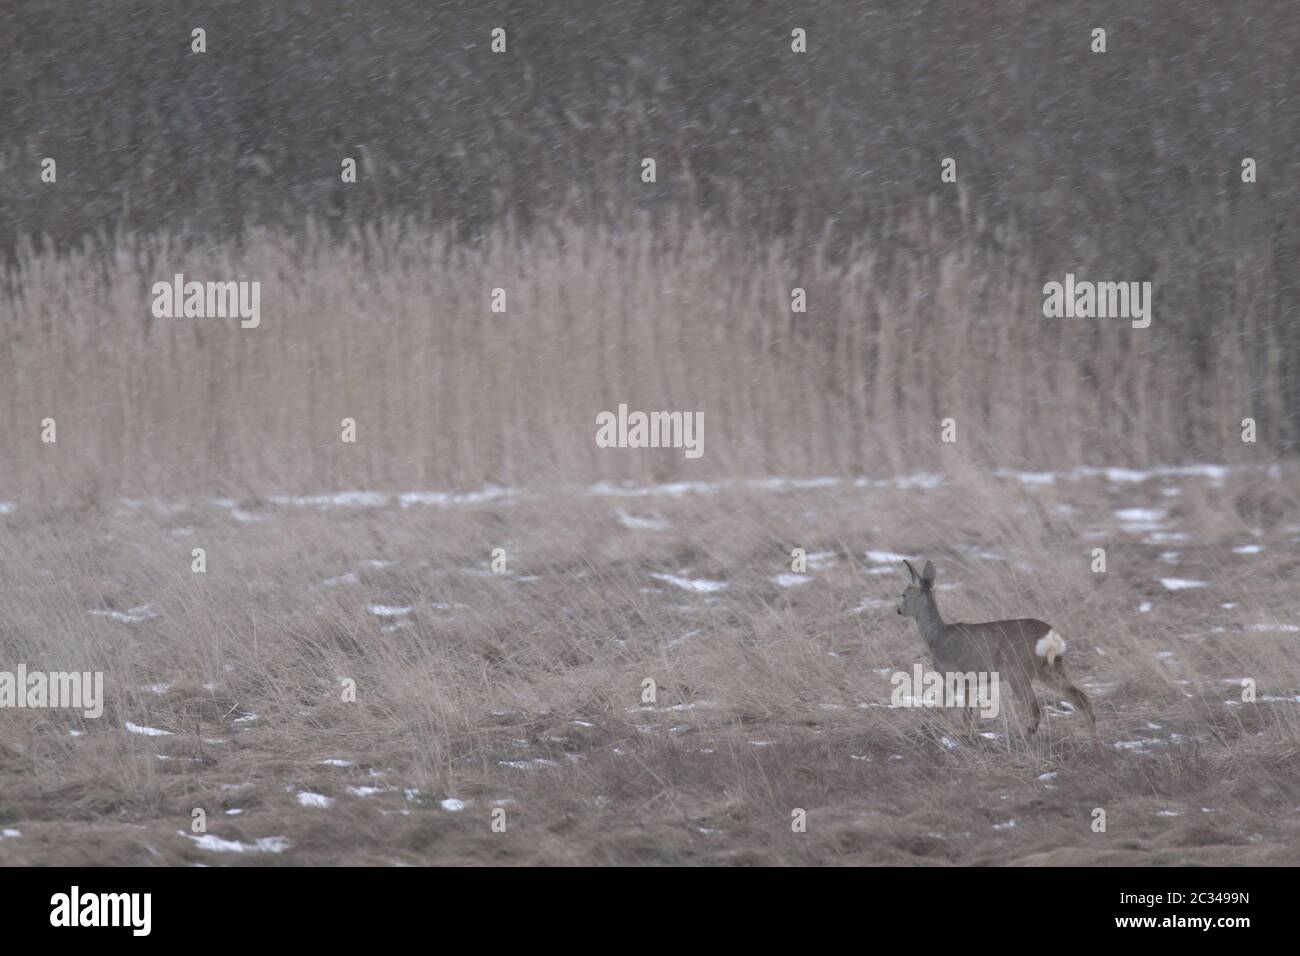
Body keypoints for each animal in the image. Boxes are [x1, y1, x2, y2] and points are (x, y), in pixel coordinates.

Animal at [894, 561, 1097, 733]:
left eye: (904, 594)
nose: (899, 610)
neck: (936, 635)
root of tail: (1051, 636)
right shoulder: (969, 680)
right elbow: (966, 712)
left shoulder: (953, 674)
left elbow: (941, 706)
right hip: (1050, 668)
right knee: (1081, 697)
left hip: (1017, 670)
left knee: (1035, 709)